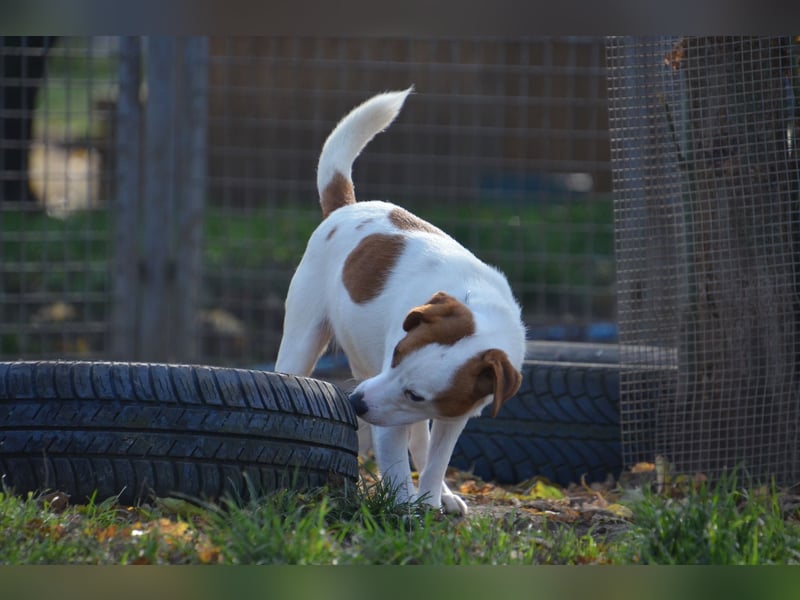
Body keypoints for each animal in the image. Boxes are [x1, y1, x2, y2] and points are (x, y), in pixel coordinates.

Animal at [276, 89, 524, 516]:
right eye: (395, 356)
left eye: (416, 393)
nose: (355, 403)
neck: (480, 306)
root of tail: (346, 207)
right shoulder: (384, 405)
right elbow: (394, 463)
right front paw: (403, 508)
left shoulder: (450, 413)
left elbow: (436, 457)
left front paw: (430, 498)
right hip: (303, 342)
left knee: (421, 441)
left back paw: (441, 495)